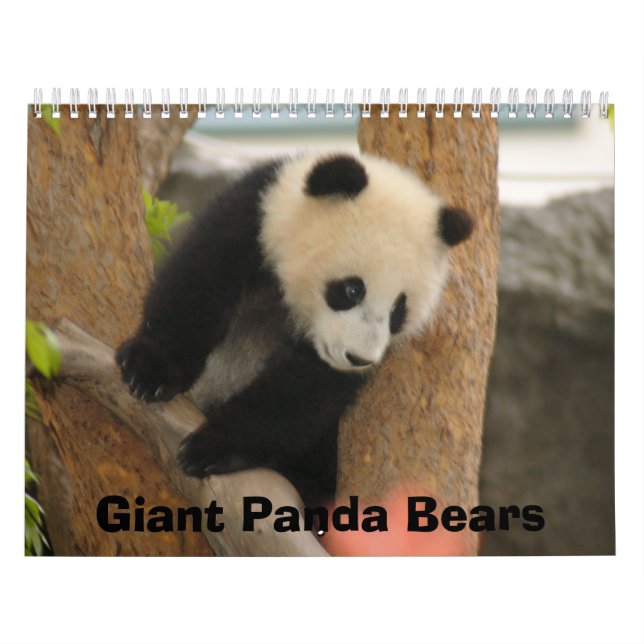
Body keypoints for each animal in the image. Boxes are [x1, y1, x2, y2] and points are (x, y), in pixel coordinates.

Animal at [116, 153, 473, 506]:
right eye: (352, 290)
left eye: (399, 309)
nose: (358, 358)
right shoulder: (253, 217)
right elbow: (198, 283)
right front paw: (149, 372)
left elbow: (303, 392)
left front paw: (213, 447)